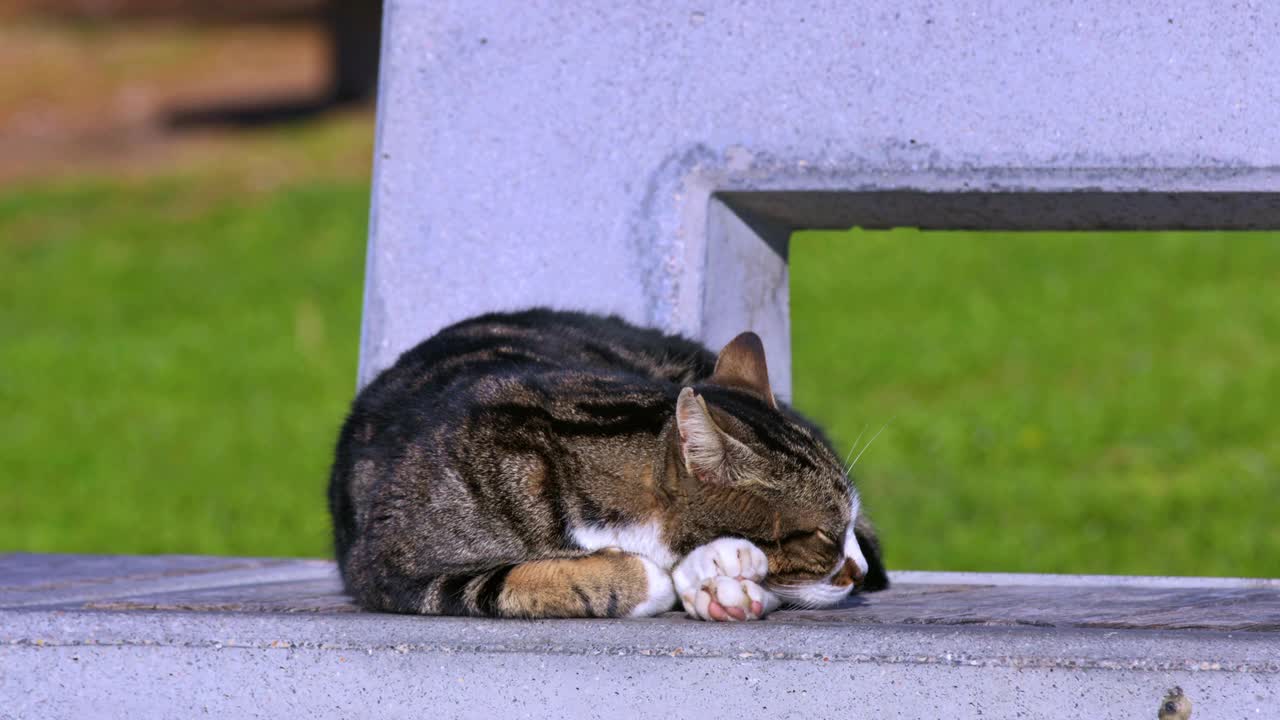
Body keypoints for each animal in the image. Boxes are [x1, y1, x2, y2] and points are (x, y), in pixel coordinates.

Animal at [330, 307, 890, 617]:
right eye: (820, 534)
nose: (860, 573)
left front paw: (715, 572)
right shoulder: (388, 566)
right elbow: (512, 581)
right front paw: (654, 576)